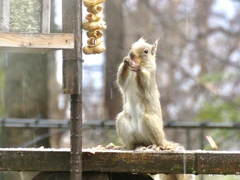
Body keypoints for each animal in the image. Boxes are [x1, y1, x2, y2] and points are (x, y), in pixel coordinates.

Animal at [114, 38, 193, 180]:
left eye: (146, 51)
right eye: (130, 47)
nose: (131, 55)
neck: (133, 73)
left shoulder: (149, 78)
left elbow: (144, 82)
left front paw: (138, 68)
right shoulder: (124, 82)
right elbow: (120, 79)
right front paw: (125, 61)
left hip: (148, 121)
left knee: (157, 142)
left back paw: (155, 145)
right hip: (122, 121)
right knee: (131, 145)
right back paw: (123, 147)